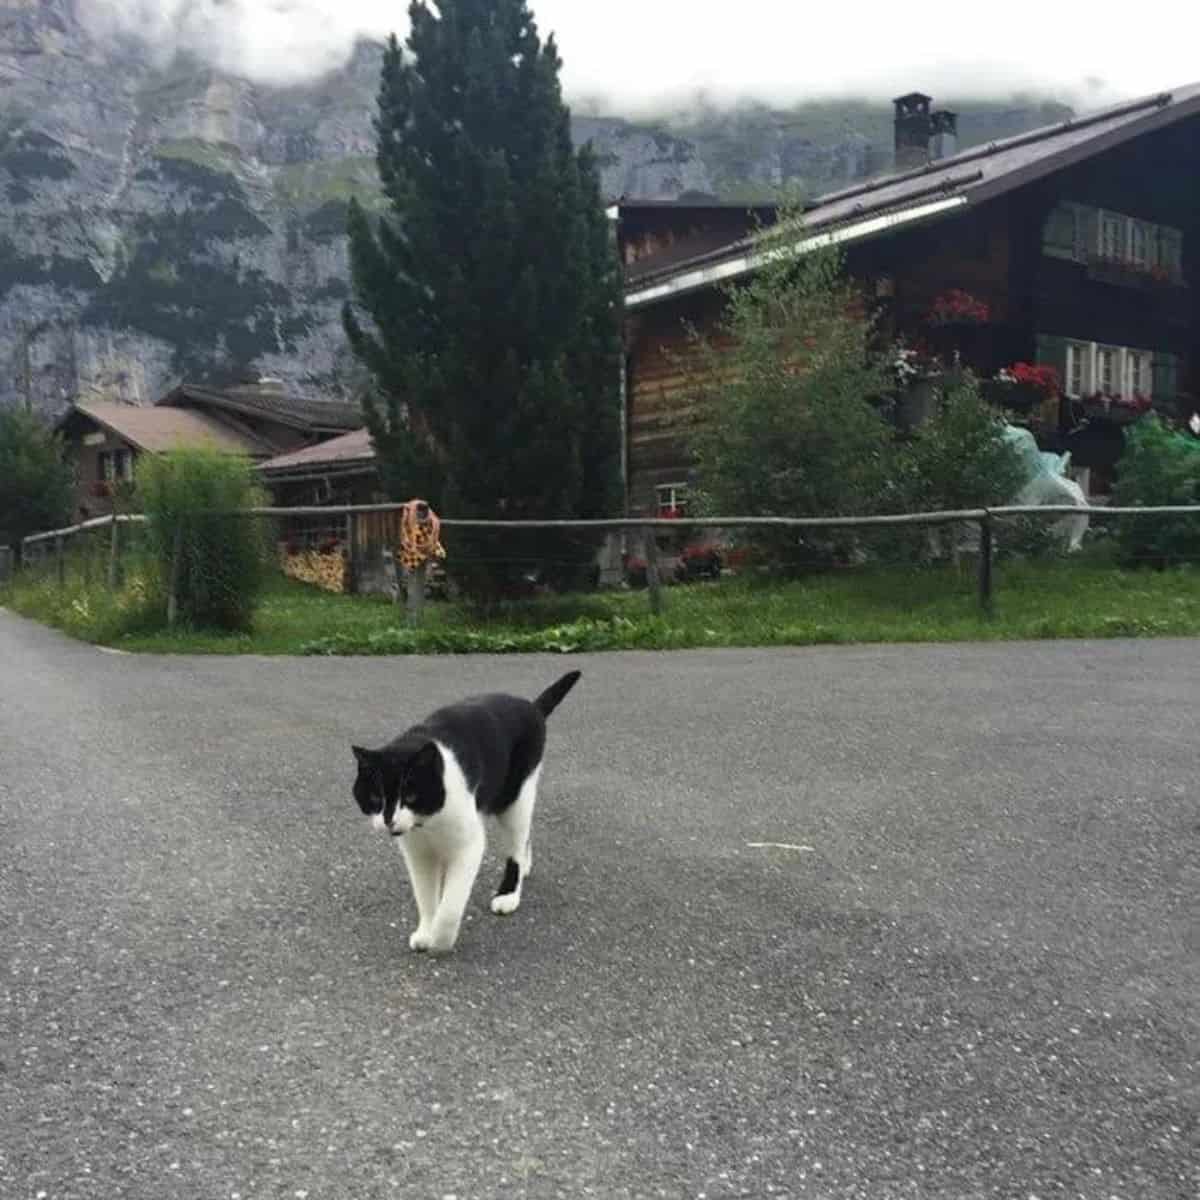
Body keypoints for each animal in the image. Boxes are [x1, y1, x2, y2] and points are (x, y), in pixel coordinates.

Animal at [350, 667, 583, 955]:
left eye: (411, 796)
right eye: (375, 798)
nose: (388, 820)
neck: (427, 823)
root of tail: (531, 706)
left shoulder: (468, 847)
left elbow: (451, 905)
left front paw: (441, 940)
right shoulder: (418, 854)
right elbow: (425, 896)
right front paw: (425, 931)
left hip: (515, 797)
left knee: (516, 845)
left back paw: (509, 893)